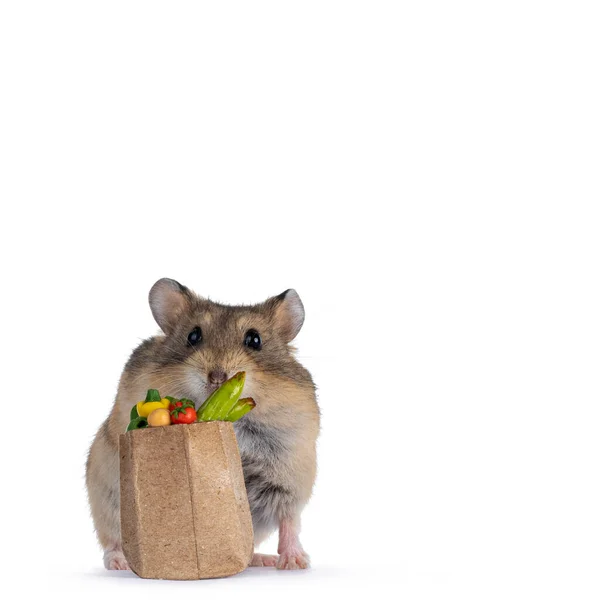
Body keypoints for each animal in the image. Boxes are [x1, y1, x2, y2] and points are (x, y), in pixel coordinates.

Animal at [85, 278, 318, 568]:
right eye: (193, 336)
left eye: (255, 340)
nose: (217, 377)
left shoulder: (291, 482)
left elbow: (290, 522)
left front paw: (296, 563)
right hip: (106, 500)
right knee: (112, 540)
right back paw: (120, 563)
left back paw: (263, 560)